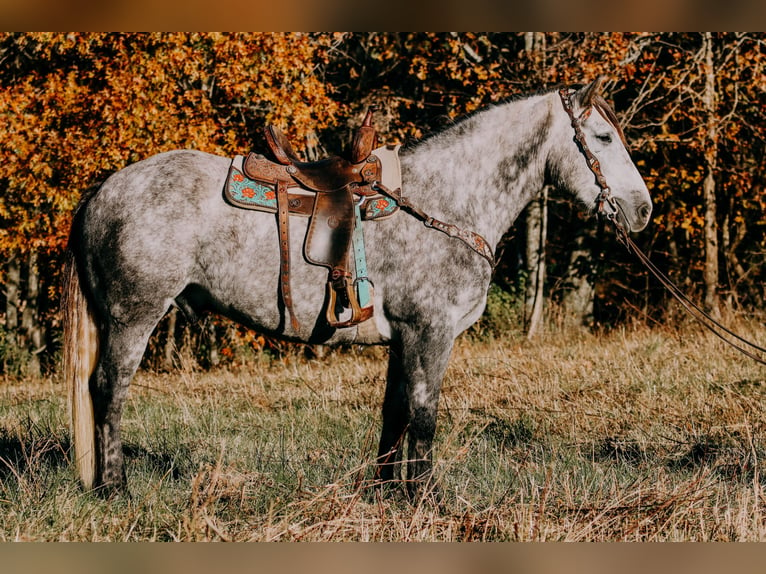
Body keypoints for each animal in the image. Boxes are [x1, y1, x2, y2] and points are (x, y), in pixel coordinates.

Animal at [61, 77, 656, 500]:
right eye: (603, 138)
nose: (642, 210)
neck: (444, 202)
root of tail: (103, 189)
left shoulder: (405, 339)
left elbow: (396, 413)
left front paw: (387, 493)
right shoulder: (430, 333)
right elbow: (424, 414)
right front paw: (425, 499)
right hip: (134, 317)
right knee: (108, 389)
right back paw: (115, 489)